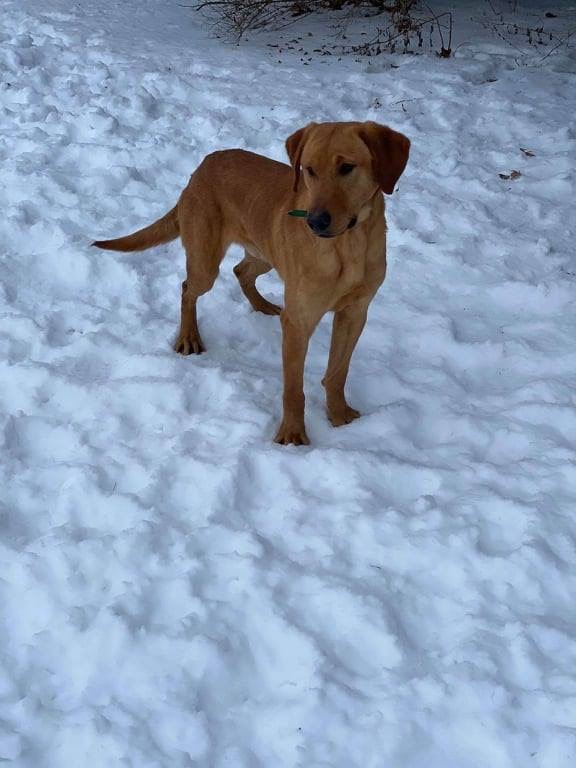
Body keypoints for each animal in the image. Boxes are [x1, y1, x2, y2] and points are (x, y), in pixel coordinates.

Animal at [93, 120, 410, 444]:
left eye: (347, 167)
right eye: (309, 169)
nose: (315, 222)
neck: (349, 245)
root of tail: (202, 166)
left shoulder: (354, 313)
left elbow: (337, 371)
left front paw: (339, 415)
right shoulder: (298, 322)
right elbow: (293, 389)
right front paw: (292, 433)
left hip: (265, 253)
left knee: (240, 271)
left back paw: (263, 306)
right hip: (206, 263)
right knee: (188, 289)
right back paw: (189, 336)